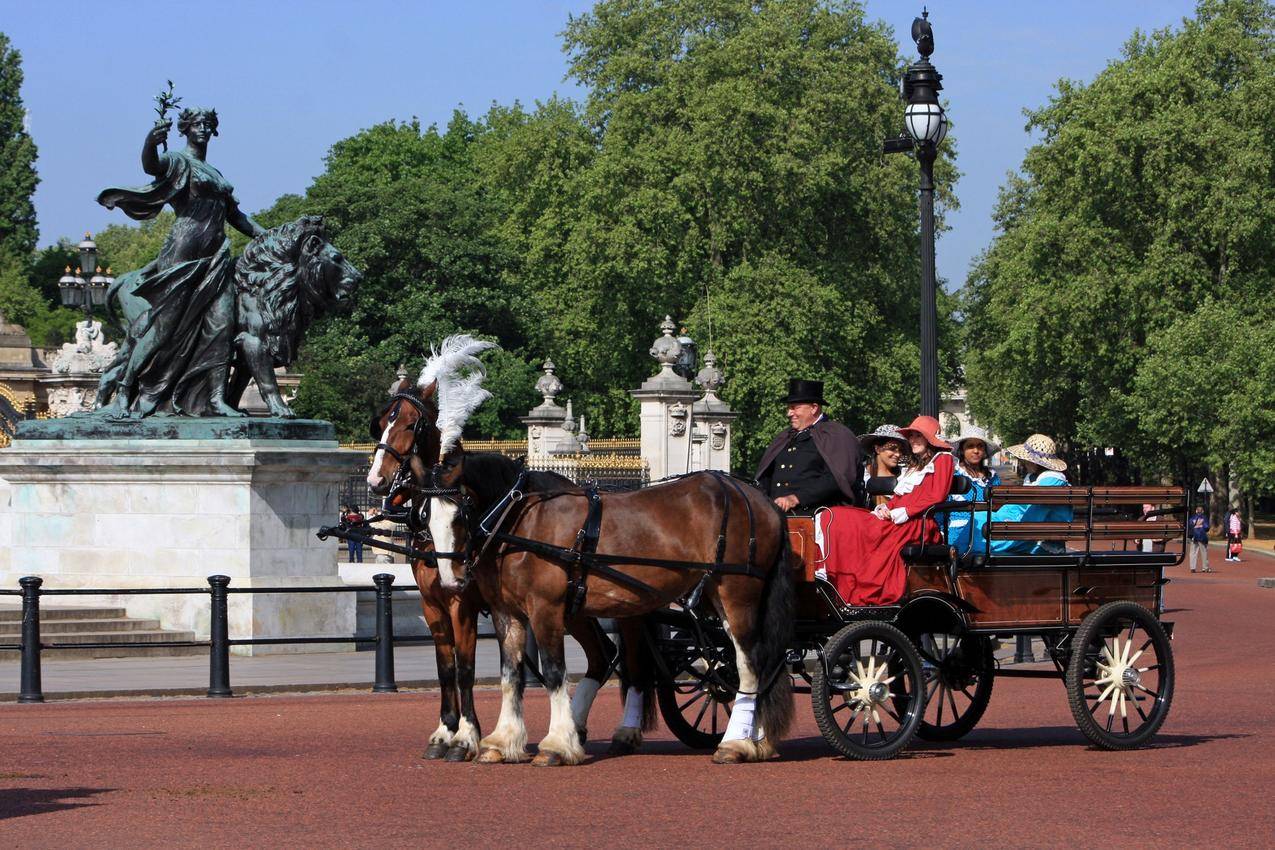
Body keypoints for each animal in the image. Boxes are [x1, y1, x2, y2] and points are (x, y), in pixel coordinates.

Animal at [423, 448, 790, 769]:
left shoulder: (545, 609)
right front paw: (502, 741)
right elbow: (510, 676)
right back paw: (755, 738)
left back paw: (737, 742)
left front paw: (557, 744)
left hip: (736, 595)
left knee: (749, 664)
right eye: (426, 516)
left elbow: (554, 673)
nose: (451, 581)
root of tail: (760, 499)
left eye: (462, 510)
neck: (522, 521)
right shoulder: (507, 613)